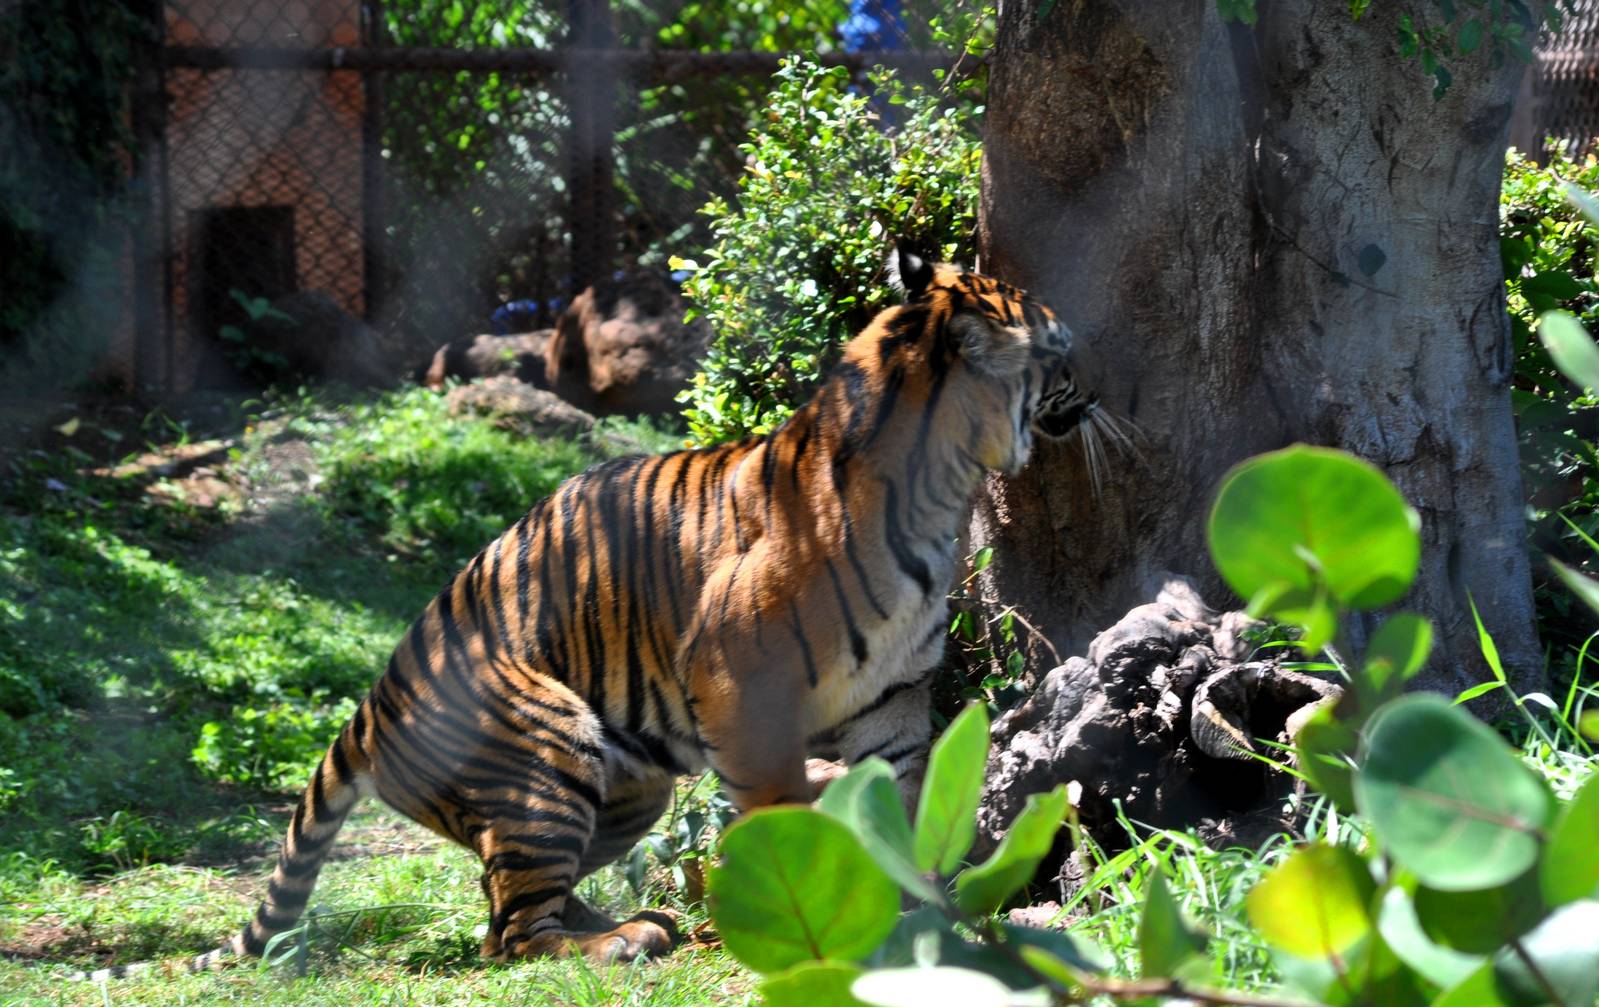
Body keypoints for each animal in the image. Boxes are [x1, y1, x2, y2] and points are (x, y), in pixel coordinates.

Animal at [83, 247, 1108, 979]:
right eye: (1058, 350)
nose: (1100, 387)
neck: (945, 486)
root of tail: (372, 700)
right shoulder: (739, 674)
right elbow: (778, 804)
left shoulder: (889, 703)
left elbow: (901, 807)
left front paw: (923, 920)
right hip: (546, 750)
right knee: (506, 935)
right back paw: (621, 941)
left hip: (627, 784)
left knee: (508, 898)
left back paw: (638, 920)